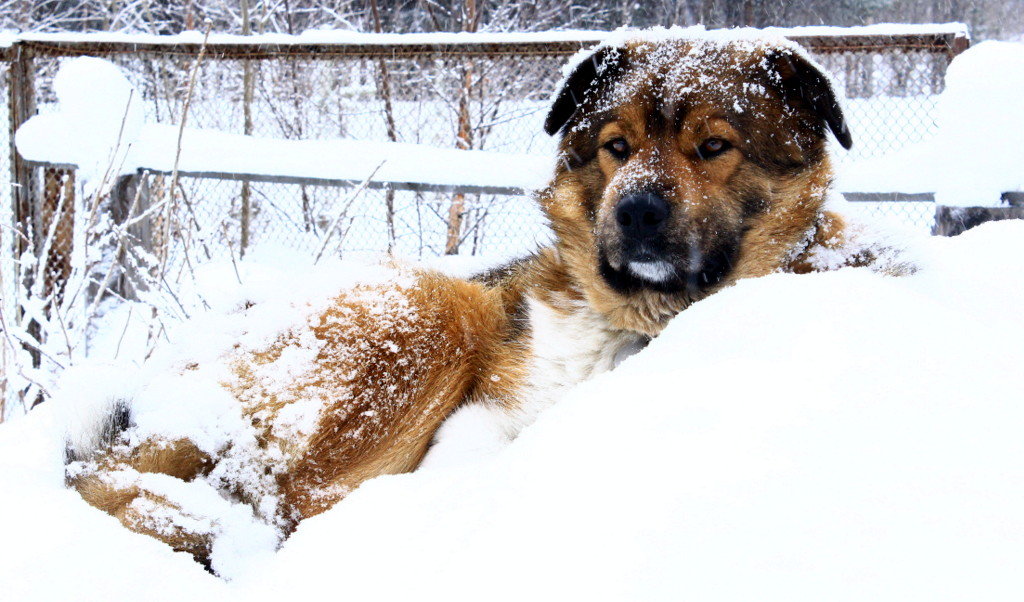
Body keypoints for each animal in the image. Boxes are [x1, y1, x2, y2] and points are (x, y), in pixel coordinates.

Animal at [64, 31, 888, 573]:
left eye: (715, 147)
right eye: (617, 148)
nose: (635, 213)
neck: (638, 326)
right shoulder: (479, 421)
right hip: (432, 308)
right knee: (283, 501)